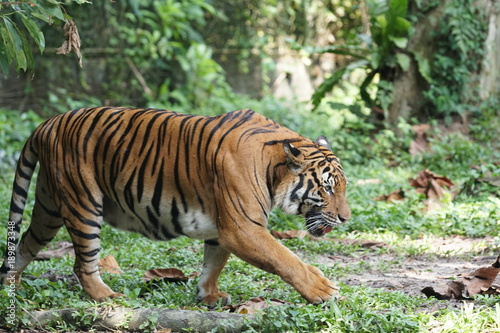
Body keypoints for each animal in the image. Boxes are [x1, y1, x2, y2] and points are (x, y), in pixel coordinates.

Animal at [0, 107, 352, 306]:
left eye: (344, 187)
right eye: (327, 187)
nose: (346, 219)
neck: (273, 167)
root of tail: (47, 123)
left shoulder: (222, 228)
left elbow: (213, 263)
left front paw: (208, 295)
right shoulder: (242, 227)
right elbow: (286, 259)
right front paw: (323, 289)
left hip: (49, 208)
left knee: (26, 243)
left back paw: (10, 289)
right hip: (83, 204)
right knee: (82, 263)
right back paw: (107, 297)